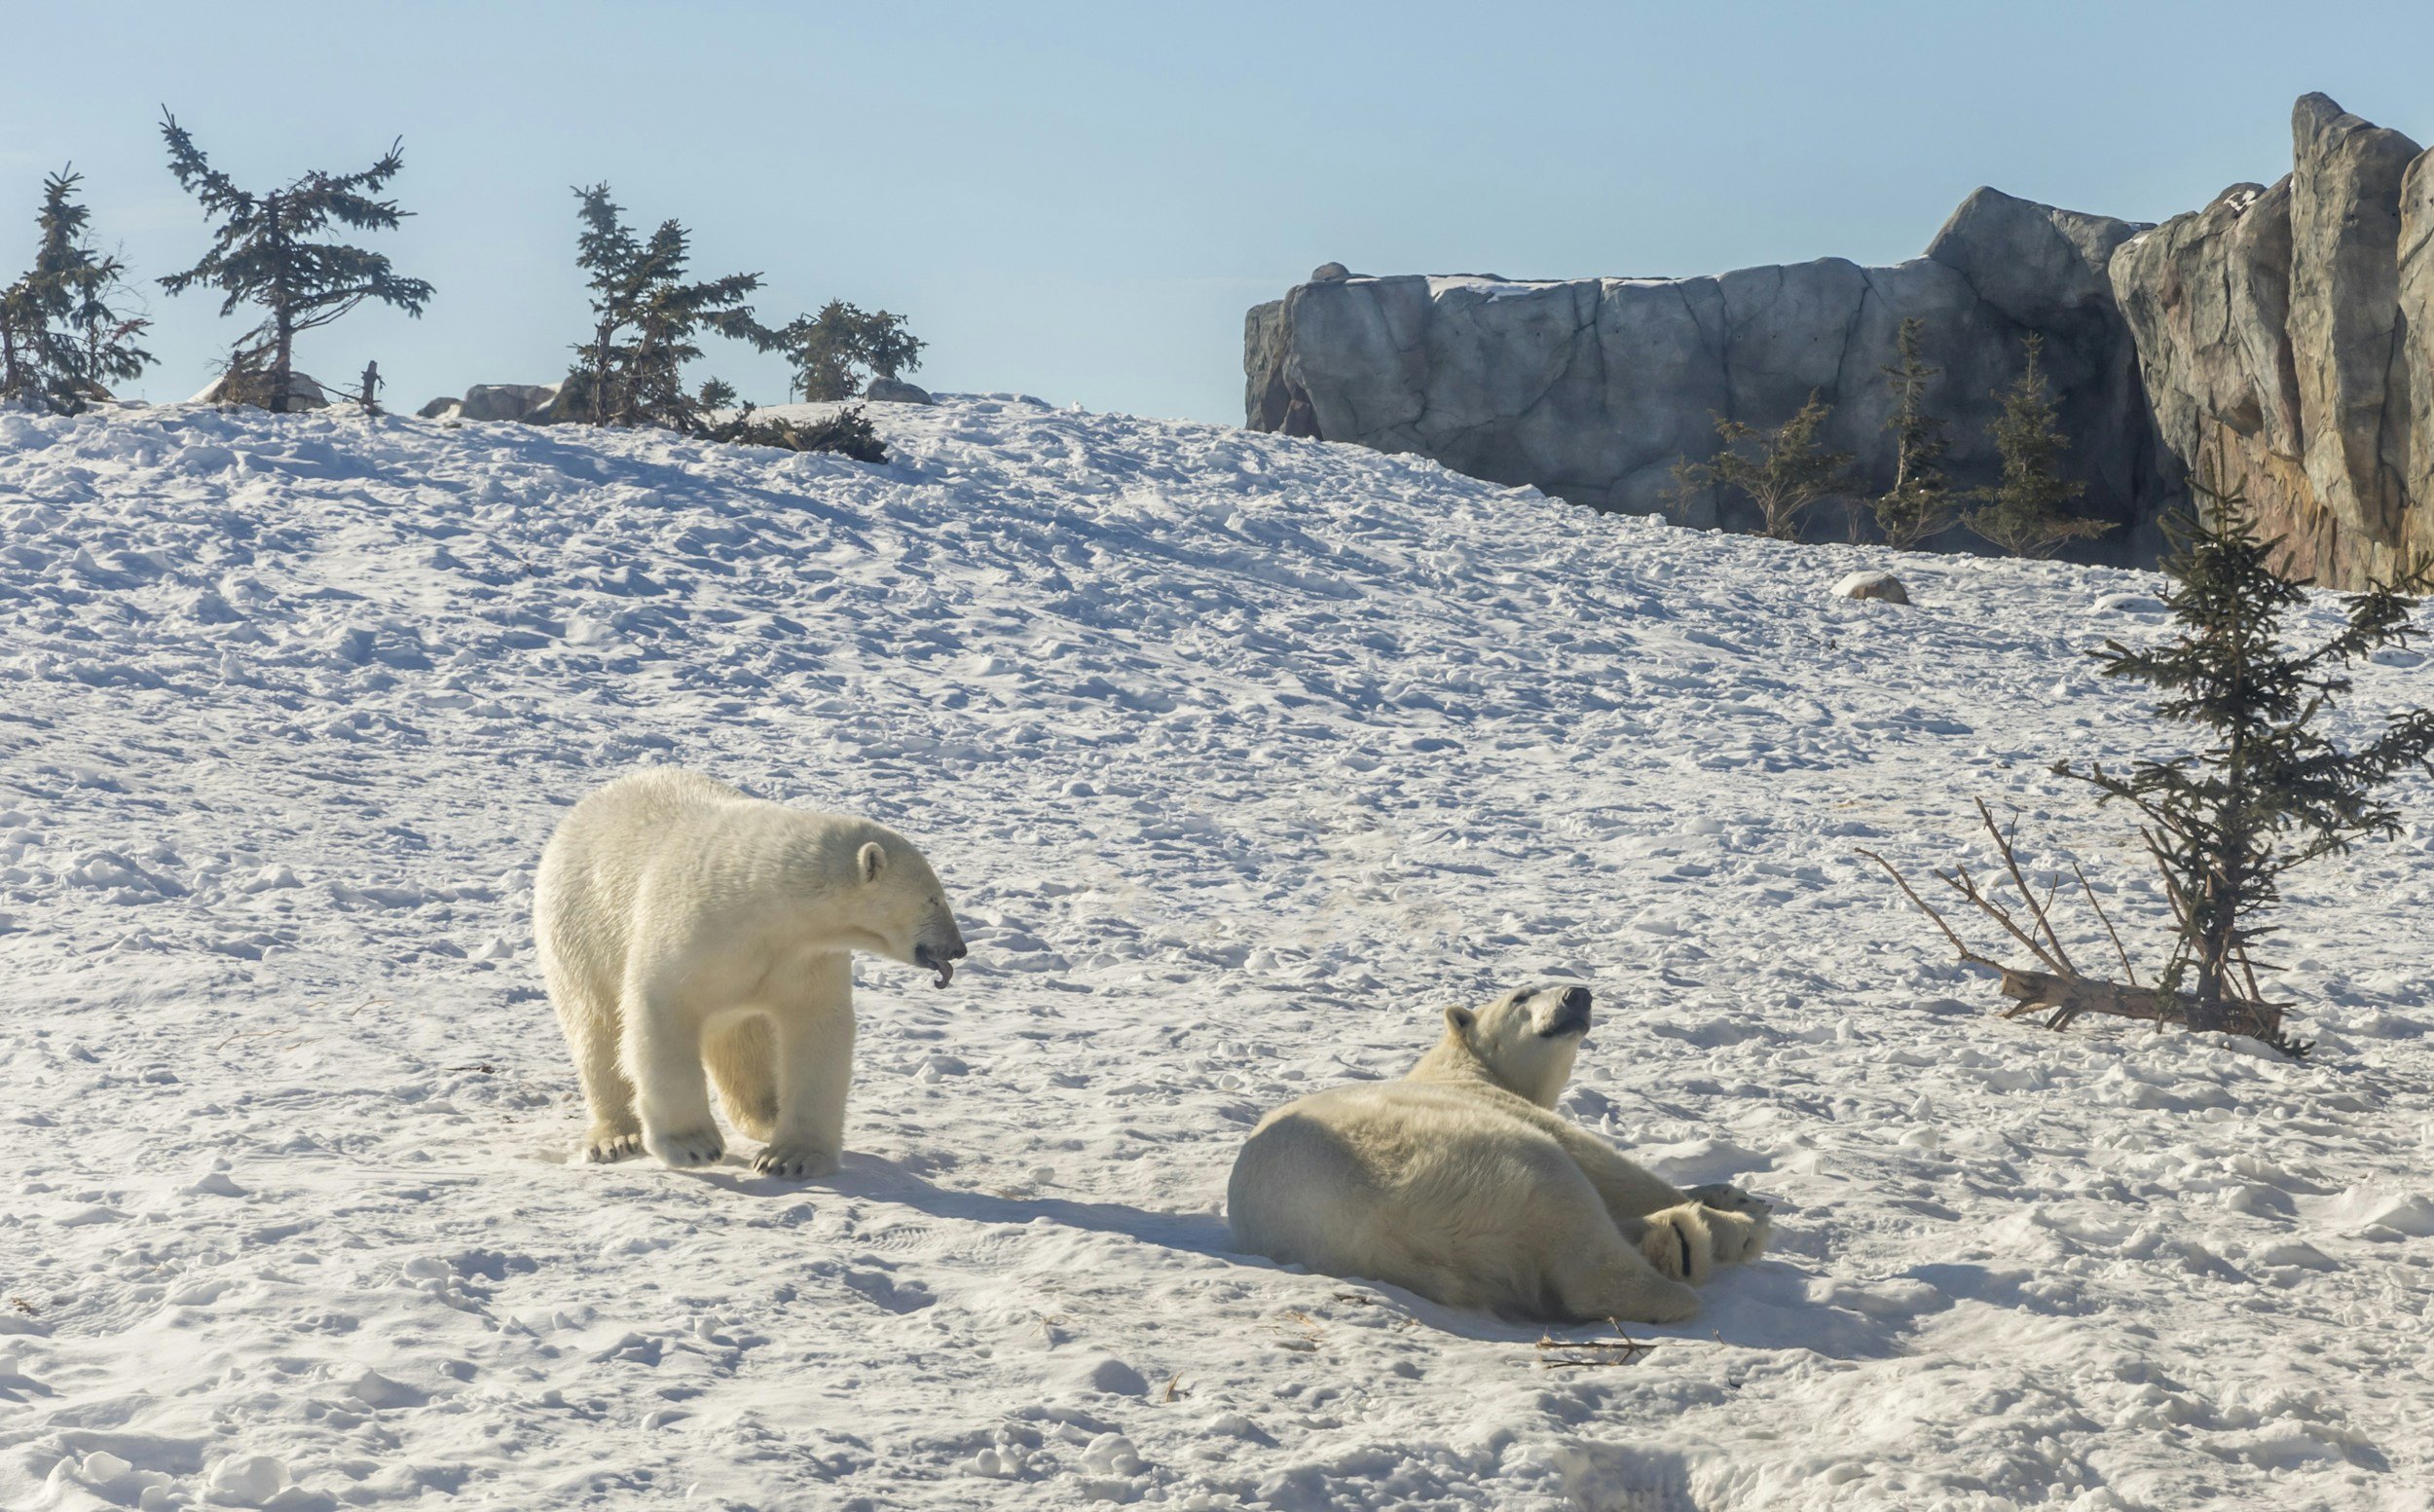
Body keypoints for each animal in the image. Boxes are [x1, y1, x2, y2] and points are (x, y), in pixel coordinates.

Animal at [533, 768, 967, 1176]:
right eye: (934, 898)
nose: (958, 948)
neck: (762, 899)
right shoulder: (692, 930)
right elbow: (661, 1011)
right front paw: (694, 1146)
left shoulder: (804, 956)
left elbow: (817, 1027)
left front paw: (791, 1158)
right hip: (580, 932)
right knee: (597, 1030)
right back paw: (616, 1136)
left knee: (742, 1040)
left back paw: (767, 1116)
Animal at [1225, 983, 1769, 1323]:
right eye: (1521, 996)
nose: (1578, 994)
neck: (1459, 1066)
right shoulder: (1496, 1105)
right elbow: (1606, 1166)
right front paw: (1740, 1210)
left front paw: (1727, 1196)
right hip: (1470, 1160)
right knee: (1578, 1231)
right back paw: (1688, 1251)